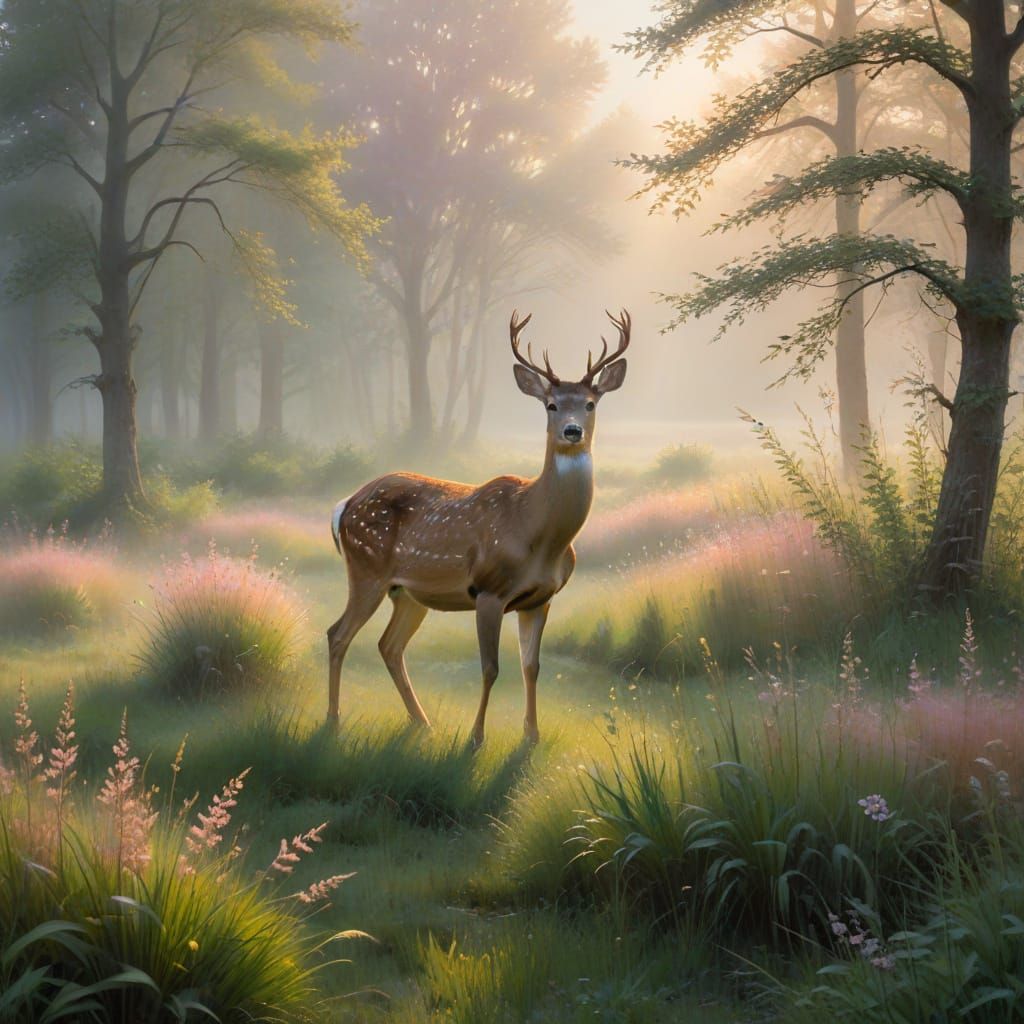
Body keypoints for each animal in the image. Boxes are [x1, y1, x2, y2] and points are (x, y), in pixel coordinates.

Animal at [327, 309, 631, 746]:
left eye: (590, 404)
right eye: (551, 405)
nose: (572, 431)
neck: (540, 535)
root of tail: (344, 505)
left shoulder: (541, 598)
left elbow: (531, 666)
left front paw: (531, 736)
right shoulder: (488, 589)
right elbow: (490, 667)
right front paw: (475, 738)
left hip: (408, 592)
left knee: (389, 646)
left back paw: (422, 722)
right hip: (366, 567)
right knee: (338, 635)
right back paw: (333, 721)